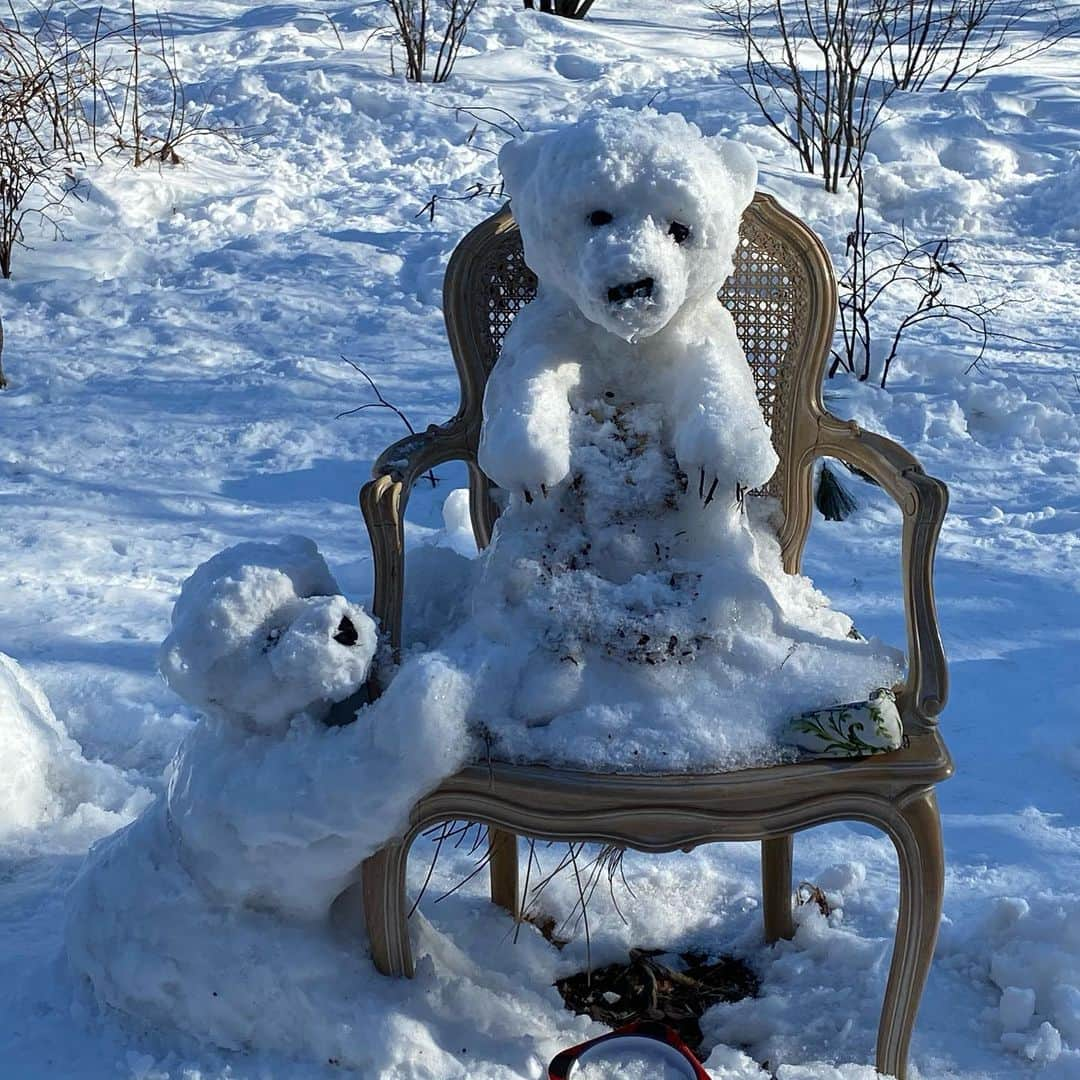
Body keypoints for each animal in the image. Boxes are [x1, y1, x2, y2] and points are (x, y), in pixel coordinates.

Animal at [481, 107, 777, 511]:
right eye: (598, 215)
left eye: (680, 230)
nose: (633, 284)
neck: (626, 341)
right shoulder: (553, 329)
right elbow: (525, 371)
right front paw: (529, 459)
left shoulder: (691, 333)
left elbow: (719, 370)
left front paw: (725, 461)